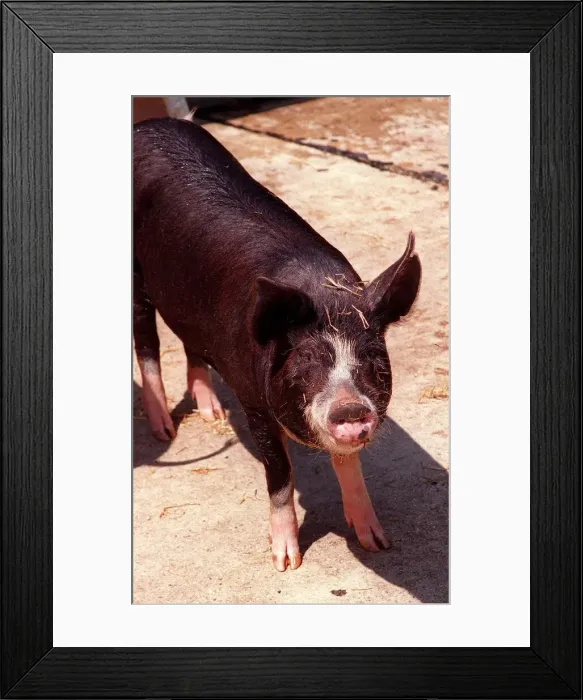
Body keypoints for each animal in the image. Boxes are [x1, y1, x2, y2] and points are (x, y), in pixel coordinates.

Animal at [133, 118, 421, 571]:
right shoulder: (255, 405)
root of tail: (146, 124)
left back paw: (212, 413)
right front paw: (287, 564)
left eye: (372, 357)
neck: (322, 292)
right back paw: (163, 431)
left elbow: (348, 464)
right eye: (306, 358)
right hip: (137, 278)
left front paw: (377, 543)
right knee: (145, 338)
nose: (350, 409)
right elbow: (281, 475)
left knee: (190, 341)